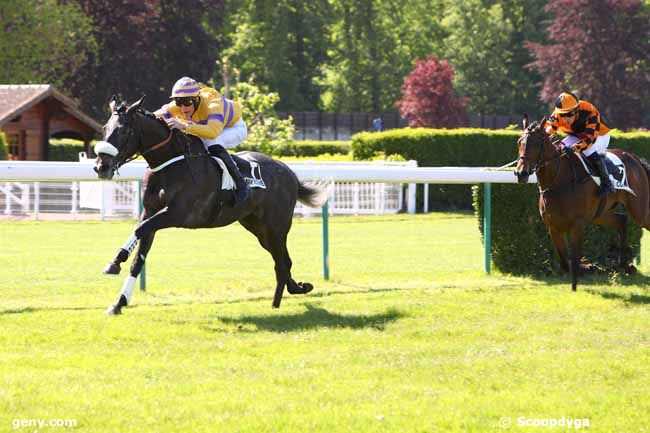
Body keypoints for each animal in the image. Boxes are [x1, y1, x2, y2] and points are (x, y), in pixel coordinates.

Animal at [93, 97, 326, 314]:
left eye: (124, 131)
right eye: (105, 128)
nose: (101, 166)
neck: (172, 164)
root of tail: (289, 173)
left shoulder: (178, 214)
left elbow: (139, 229)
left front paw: (115, 262)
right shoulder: (150, 212)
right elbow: (138, 256)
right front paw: (118, 302)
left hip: (276, 227)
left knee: (282, 262)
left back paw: (287, 296)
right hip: (258, 228)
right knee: (282, 261)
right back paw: (290, 293)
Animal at [512, 115, 648, 290]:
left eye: (537, 143)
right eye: (519, 142)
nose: (521, 173)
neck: (558, 180)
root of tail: (635, 158)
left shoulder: (578, 224)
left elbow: (574, 258)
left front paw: (585, 269)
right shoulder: (553, 226)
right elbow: (565, 262)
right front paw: (588, 267)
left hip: (639, 210)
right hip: (600, 214)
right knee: (621, 221)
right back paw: (625, 265)